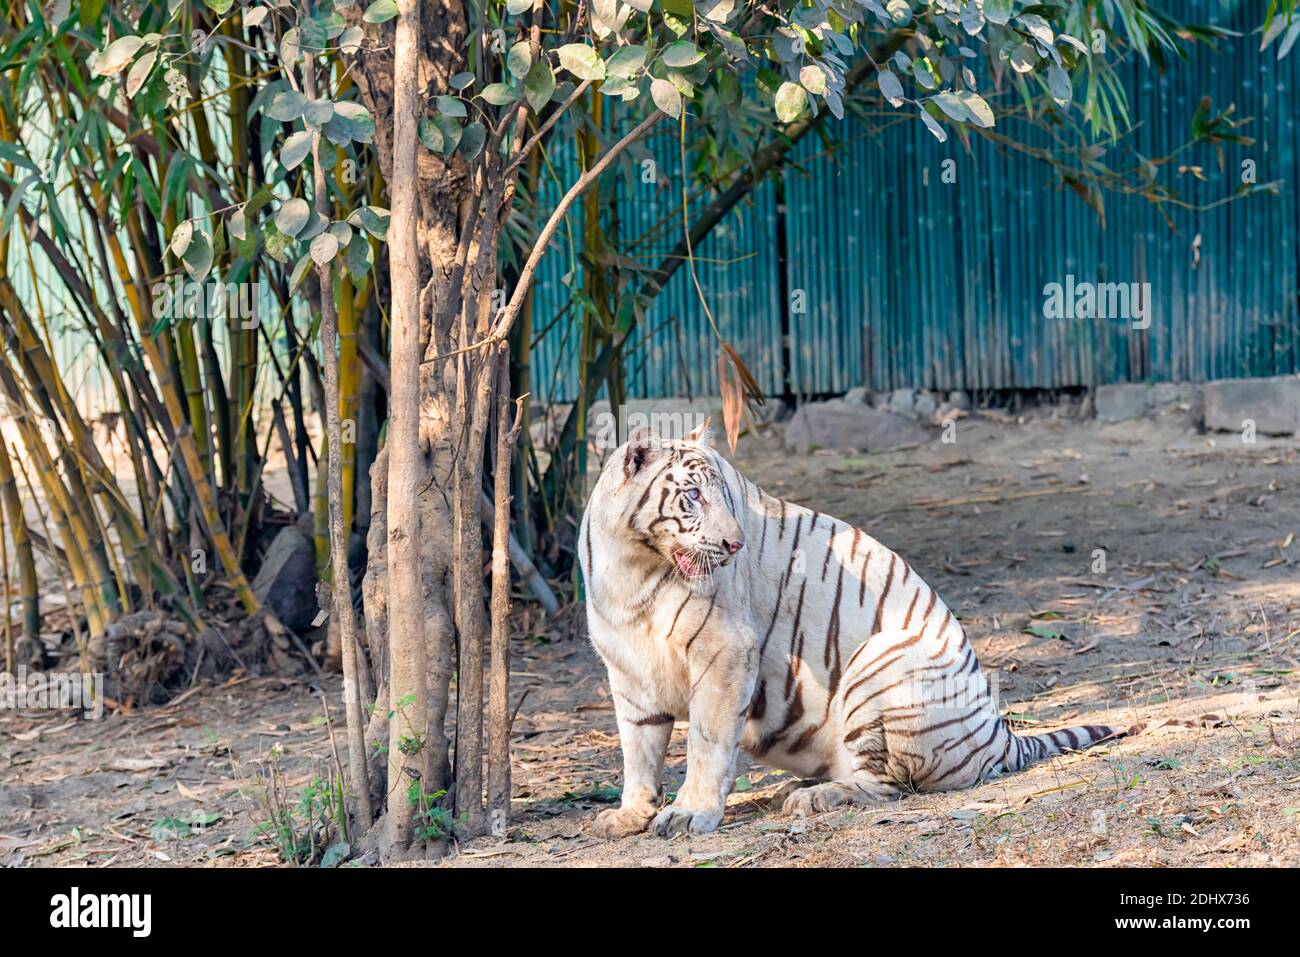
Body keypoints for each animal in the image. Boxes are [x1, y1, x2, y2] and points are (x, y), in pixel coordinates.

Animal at [582, 426, 1118, 837]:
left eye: (724, 498)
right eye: (693, 496)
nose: (735, 544)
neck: (631, 567)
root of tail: (1002, 733)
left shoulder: (724, 652)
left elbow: (706, 741)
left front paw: (690, 814)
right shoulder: (629, 672)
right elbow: (638, 750)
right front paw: (630, 814)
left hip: (883, 657)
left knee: (888, 786)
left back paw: (812, 797)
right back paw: (795, 788)